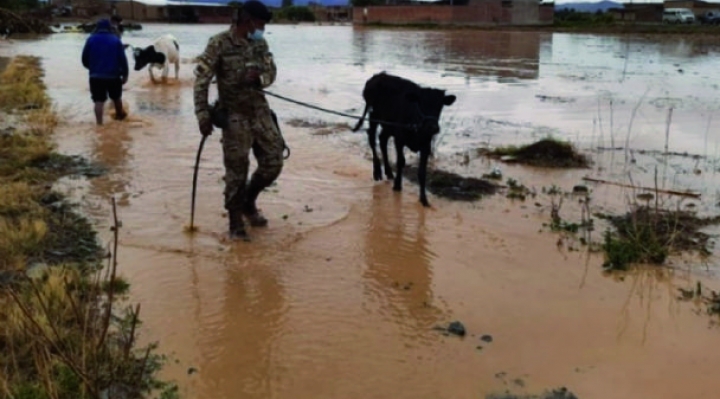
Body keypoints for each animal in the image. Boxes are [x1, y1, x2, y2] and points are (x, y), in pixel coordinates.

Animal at [352, 72, 456, 209]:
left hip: (388, 125)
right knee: (372, 139)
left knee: (382, 139)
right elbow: (401, 161)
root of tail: (379, 75)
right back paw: (377, 171)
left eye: (440, 106)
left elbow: (422, 172)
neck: (416, 124)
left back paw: (389, 172)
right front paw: (397, 186)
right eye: (420, 103)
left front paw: (424, 199)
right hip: (374, 115)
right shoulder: (399, 139)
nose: (432, 127)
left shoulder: (426, 145)